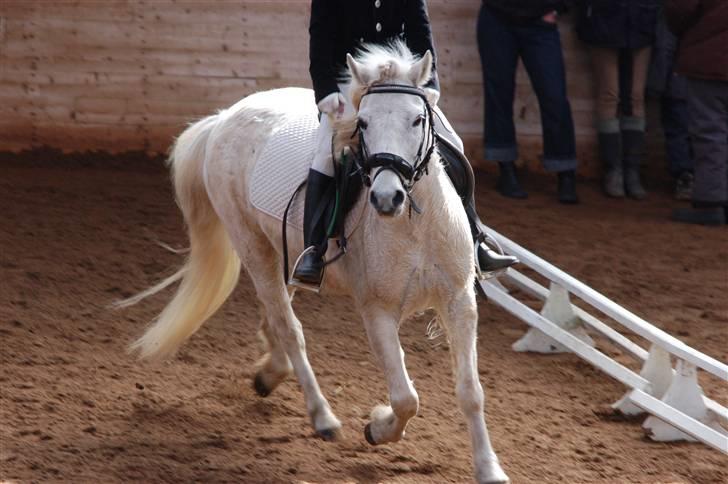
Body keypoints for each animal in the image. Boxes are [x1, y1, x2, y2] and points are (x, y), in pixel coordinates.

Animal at [120, 42, 509, 483]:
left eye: (417, 119)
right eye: (363, 123)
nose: (386, 199)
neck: (414, 223)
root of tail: (224, 117)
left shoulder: (459, 301)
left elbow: (471, 392)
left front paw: (489, 468)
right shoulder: (376, 311)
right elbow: (405, 397)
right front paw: (377, 427)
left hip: (282, 252)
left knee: (274, 314)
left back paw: (270, 373)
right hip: (252, 245)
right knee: (289, 326)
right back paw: (322, 416)